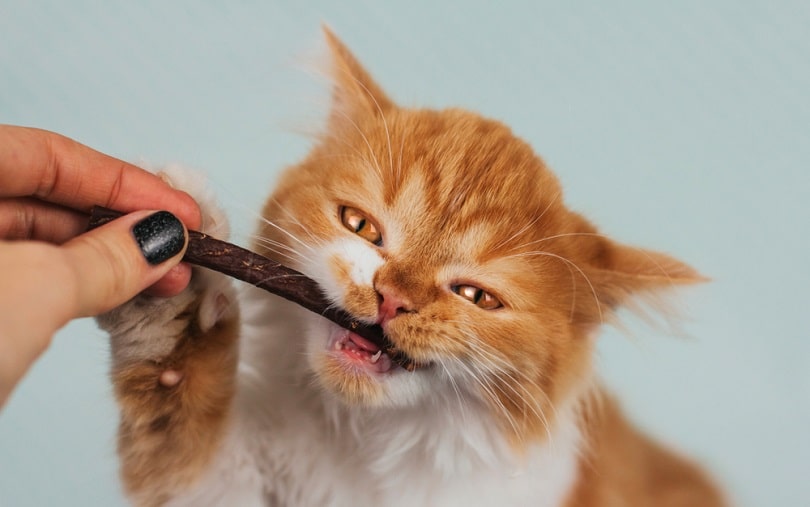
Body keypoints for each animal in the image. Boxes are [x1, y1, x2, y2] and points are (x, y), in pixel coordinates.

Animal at [96, 28, 724, 507]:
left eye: (477, 297)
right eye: (362, 227)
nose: (391, 298)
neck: (369, 447)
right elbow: (180, 391)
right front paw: (178, 298)